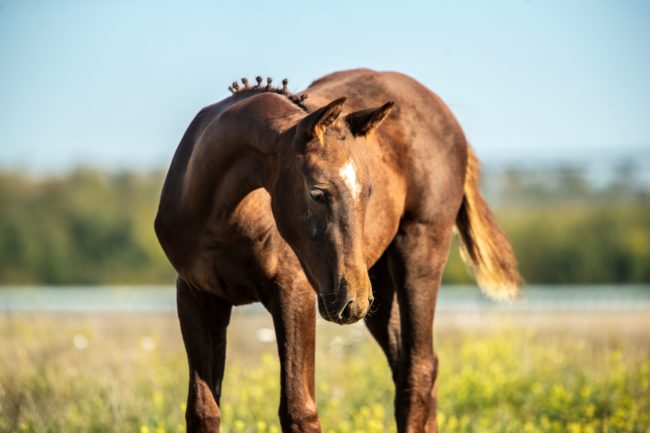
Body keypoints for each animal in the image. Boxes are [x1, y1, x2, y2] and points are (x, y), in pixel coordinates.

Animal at [154, 69, 520, 430]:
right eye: (318, 193)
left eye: (368, 191)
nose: (350, 299)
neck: (220, 216)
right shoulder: (196, 297)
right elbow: (203, 411)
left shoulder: (294, 293)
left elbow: (299, 411)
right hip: (378, 287)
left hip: (418, 254)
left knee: (418, 371)